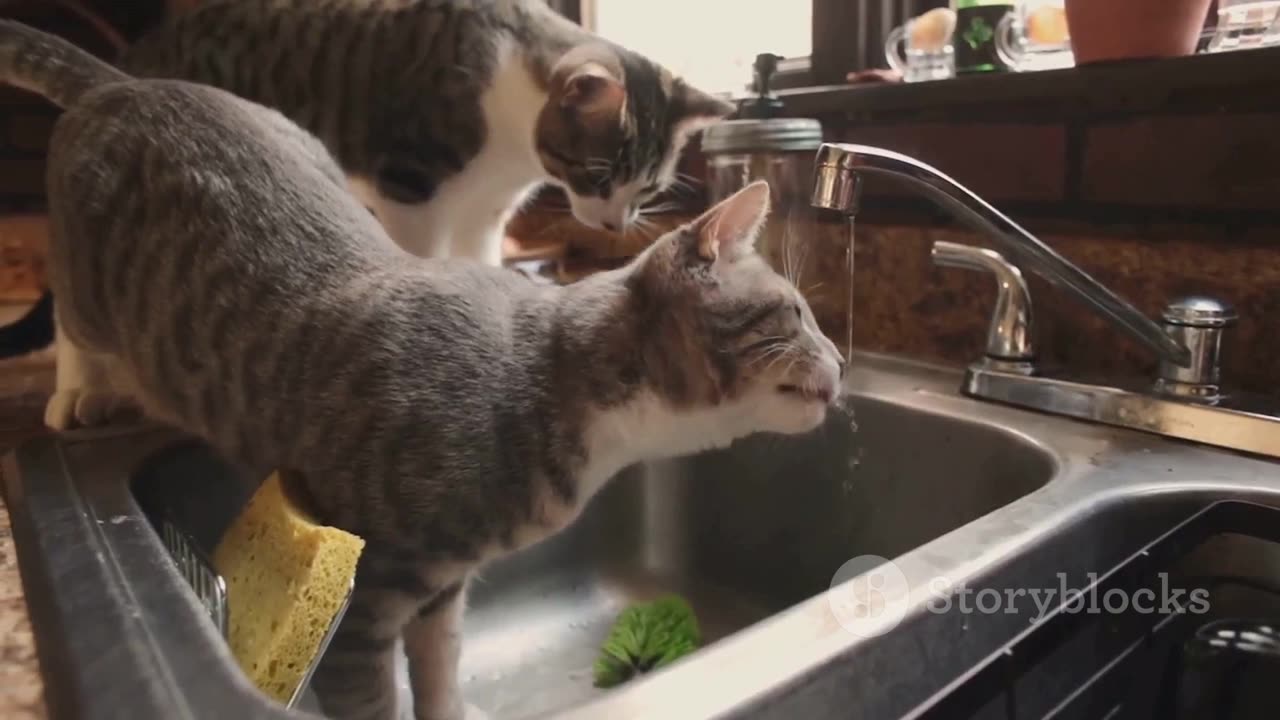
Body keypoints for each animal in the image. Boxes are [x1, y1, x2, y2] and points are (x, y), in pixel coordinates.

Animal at [2, 19, 849, 717]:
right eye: (796, 313)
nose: (844, 361)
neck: (560, 389)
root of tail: (129, 83)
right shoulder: (370, 596)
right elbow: (372, 694)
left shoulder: (441, 586)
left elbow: (439, 664)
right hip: (88, 278)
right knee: (74, 323)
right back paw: (80, 394)